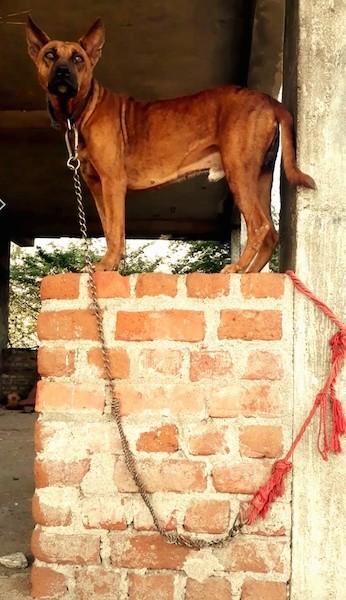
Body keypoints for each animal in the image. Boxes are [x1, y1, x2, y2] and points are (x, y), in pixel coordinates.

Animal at [26, 15, 316, 274]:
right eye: (50, 55)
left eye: (78, 58)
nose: (63, 73)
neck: (83, 109)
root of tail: (269, 100)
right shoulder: (97, 185)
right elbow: (109, 229)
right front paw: (110, 265)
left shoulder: (113, 181)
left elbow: (117, 231)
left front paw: (106, 265)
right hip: (261, 176)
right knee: (271, 232)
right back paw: (251, 271)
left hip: (240, 172)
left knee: (259, 225)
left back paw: (237, 268)